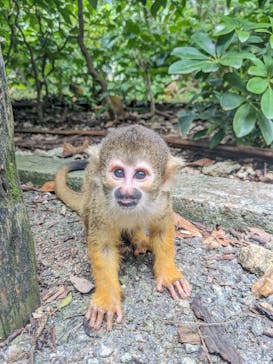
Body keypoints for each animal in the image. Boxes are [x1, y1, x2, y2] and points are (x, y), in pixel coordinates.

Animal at [54, 124, 191, 330]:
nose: (126, 191)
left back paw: (138, 239)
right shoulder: (101, 203)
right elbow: (103, 248)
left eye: (140, 175)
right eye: (118, 173)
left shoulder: (161, 199)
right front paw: (106, 301)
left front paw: (169, 274)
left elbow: (162, 229)